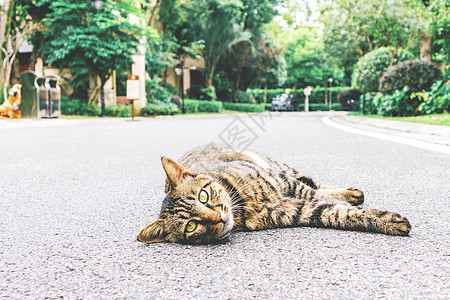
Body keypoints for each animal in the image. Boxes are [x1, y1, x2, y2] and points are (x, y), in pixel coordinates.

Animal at [138, 144, 412, 245]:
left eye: (203, 196)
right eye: (191, 226)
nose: (217, 218)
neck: (242, 205)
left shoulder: (291, 186)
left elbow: (334, 202)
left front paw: (383, 218)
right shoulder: (300, 210)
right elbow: (339, 212)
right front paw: (384, 220)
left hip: (283, 169)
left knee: (313, 182)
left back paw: (352, 193)